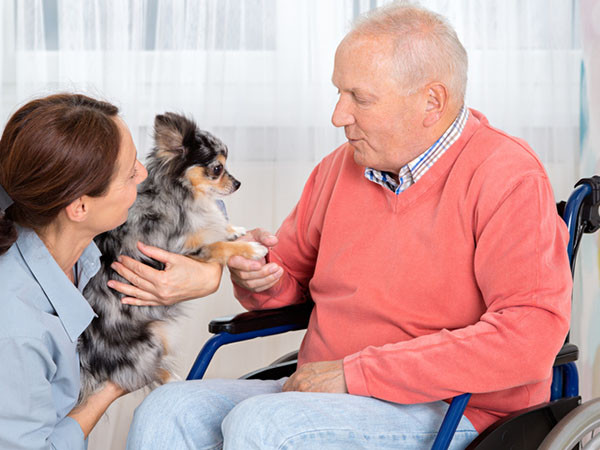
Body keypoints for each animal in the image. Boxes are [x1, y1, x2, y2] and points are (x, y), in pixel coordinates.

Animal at [78, 112, 266, 404]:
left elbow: (217, 228)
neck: (185, 197)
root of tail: (88, 361)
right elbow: (219, 246)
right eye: (217, 169)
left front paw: (234, 230)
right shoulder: (181, 250)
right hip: (154, 337)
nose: (238, 183)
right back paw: (173, 379)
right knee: (144, 373)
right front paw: (251, 249)